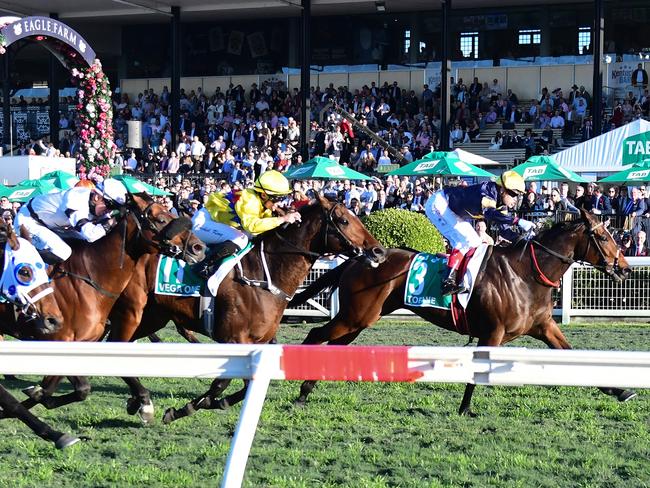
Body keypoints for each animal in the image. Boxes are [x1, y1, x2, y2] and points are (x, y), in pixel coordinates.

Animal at [104, 195, 384, 424]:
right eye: (344, 220)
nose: (378, 251)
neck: (264, 275)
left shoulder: (258, 342)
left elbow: (245, 385)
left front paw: (210, 403)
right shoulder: (233, 338)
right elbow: (221, 383)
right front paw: (183, 409)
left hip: (152, 318)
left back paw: (136, 400)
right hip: (133, 313)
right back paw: (142, 402)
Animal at [288, 210, 632, 416]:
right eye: (603, 237)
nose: (625, 269)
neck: (525, 273)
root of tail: (359, 256)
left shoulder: (544, 327)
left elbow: (573, 354)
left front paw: (621, 390)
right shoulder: (493, 332)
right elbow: (476, 373)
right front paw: (465, 409)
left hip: (359, 320)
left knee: (334, 346)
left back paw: (307, 388)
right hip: (355, 316)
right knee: (315, 334)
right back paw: (295, 385)